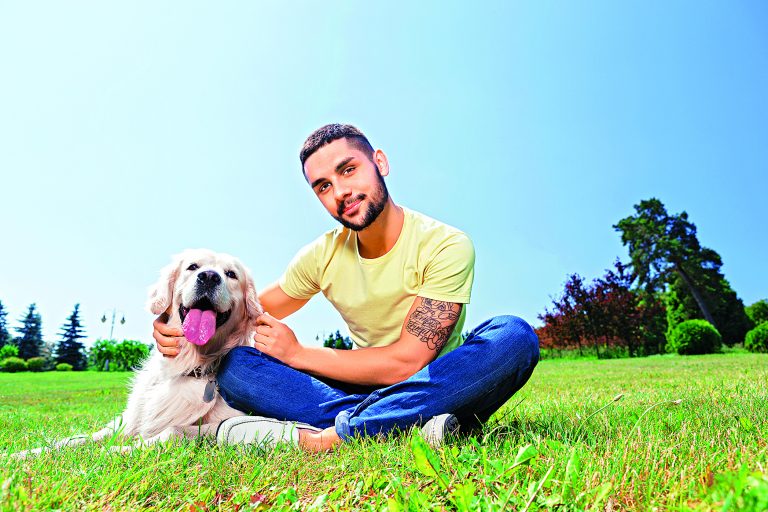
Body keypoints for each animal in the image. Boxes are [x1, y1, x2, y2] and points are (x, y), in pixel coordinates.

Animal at [14, 249, 260, 457]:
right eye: (192, 267)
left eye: (231, 274)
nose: (208, 276)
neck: (190, 365)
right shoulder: (127, 421)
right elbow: (77, 439)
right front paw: (23, 454)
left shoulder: (224, 422)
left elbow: (173, 431)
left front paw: (114, 451)